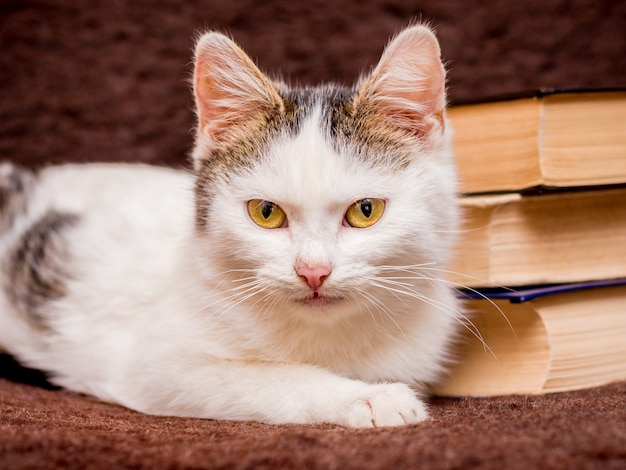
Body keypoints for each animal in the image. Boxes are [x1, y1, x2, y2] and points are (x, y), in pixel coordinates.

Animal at [0, 23, 458, 428]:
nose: (313, 272)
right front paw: (368, 398)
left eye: (365, 210)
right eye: (266, 213)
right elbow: (275, 378)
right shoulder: (157, 367)